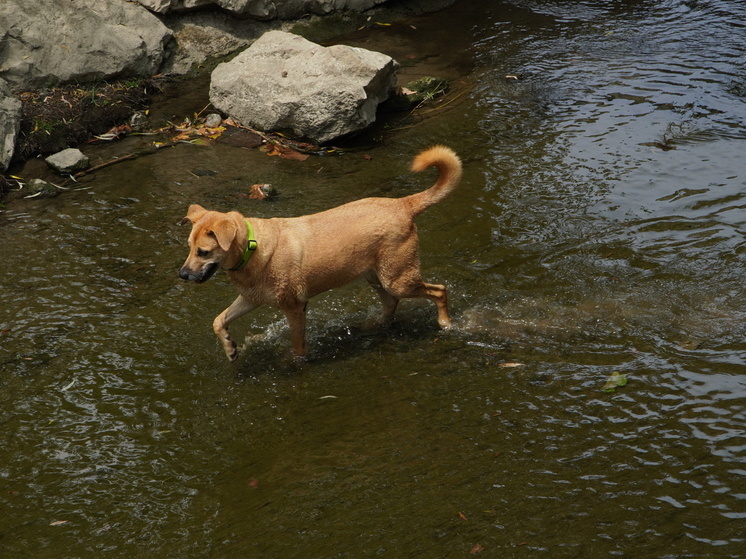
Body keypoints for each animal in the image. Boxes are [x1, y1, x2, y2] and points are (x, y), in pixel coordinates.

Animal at [179, 147, 460, 360]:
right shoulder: (251, 298)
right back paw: (372, 327)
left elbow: (297, 347)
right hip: (377, 277)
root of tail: (403, 204)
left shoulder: (294, 308)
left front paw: (296, 363)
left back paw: (445, 324)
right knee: (391, 304)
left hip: (398, 279)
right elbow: (218, 320)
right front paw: (230, 348)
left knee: (440, 291)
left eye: (203, 252)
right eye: (189, 247)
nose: (182, 274)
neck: (252, 250)